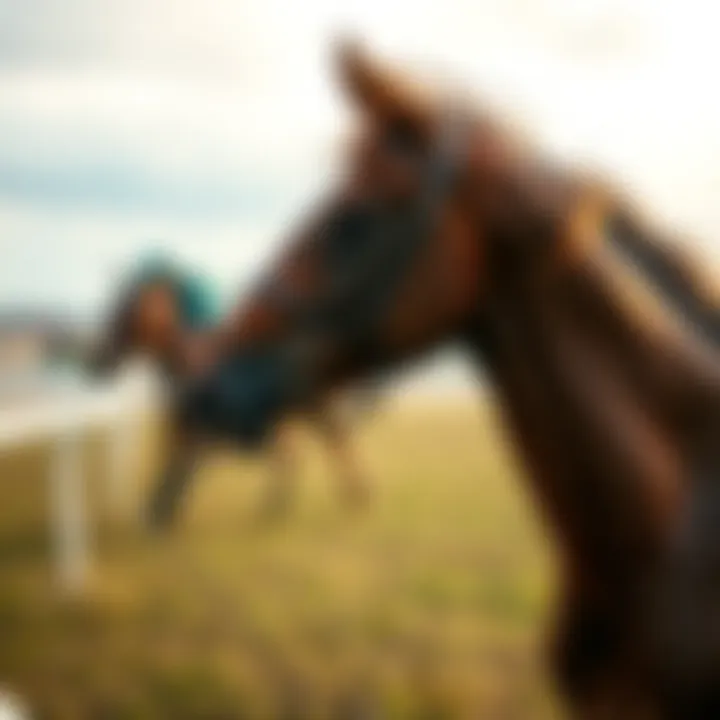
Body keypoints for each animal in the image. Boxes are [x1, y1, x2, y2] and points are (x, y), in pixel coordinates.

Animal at [91, 256, 373, 525]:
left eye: (126, 305)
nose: (101, 357)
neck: (189, 359)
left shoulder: (204, 430)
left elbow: (178, 466)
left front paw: (158, 514)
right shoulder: (203, 430)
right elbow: (177, 467)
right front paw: (159, 512)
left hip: (309, 408)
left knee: (334, 440)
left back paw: (351, 494)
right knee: (315, 447)